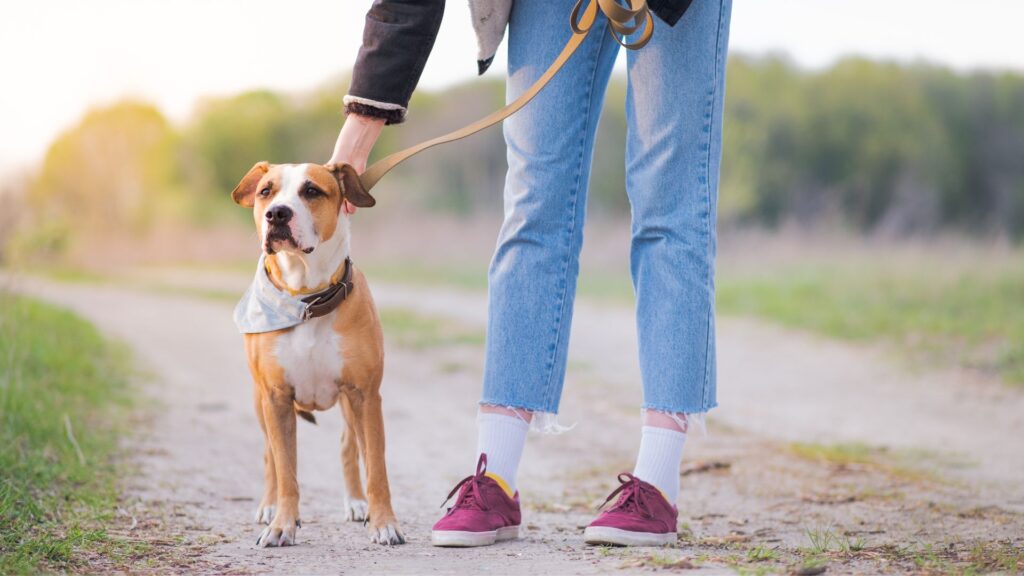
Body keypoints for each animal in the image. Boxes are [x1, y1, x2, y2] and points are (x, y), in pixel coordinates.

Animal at [232, 159, 403, 541]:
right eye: (266, 191)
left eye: (311, 191)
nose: (277, 213)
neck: (306, 299)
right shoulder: (276, 396)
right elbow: (286, 469)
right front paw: (282, 524)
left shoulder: (366, 394)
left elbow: (377, 467)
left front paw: (384, 522)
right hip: (260, 402)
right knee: (269, 456)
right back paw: (269, 506)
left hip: (350, 404)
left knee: (349, 446)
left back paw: (357, 503)